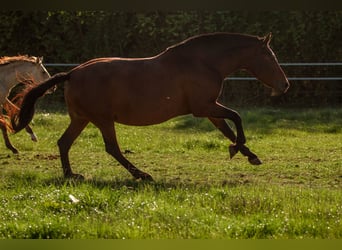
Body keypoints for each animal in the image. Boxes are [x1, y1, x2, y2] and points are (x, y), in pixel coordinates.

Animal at [11, 32, 288, 180]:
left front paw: (249, 155)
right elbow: (237, 117)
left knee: (64, 143)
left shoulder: (210, 109)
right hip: (102, 120)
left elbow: (229, 130)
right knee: (112, 148)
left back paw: (71, 175)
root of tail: (72, 74)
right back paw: (141, 175)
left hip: (82, 119)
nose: (284, 85)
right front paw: (239, 150)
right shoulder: (204, 107)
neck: (203, 62)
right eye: (270, 57)